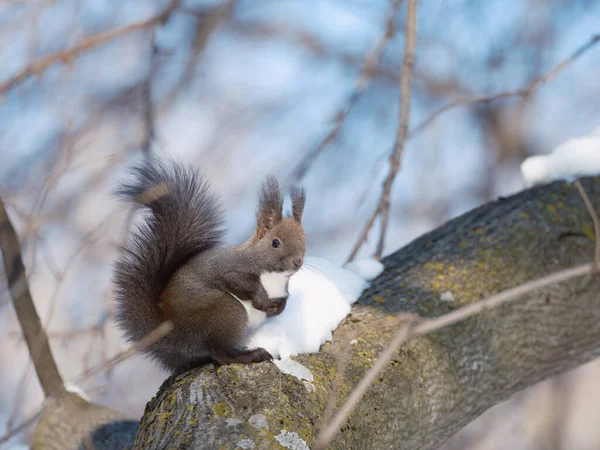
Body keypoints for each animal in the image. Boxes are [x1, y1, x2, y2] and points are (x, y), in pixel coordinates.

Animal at [112, 158, 304, 372]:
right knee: (221, 353)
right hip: (225, 310)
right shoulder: (231, 267)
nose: (298, 261)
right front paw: (262, 300)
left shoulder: (283, 289)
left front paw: (277, 308)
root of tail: (171, 333)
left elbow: (284, 300)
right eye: (275, 243)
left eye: (304, 239)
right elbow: (240, 281)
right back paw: (252, 354)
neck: (274, 277)